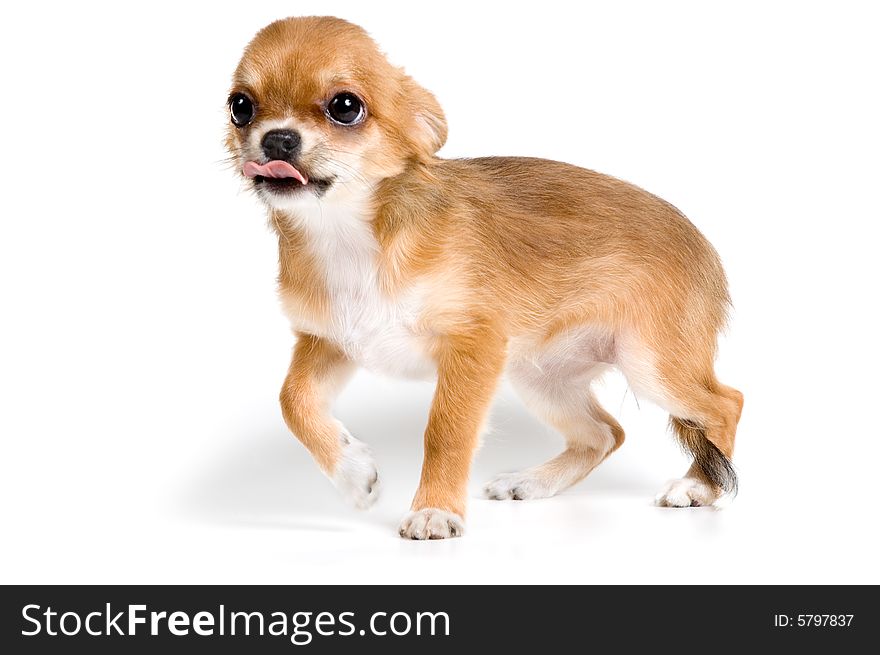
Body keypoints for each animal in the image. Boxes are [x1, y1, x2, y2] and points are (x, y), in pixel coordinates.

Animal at [225, 16, 744, 540]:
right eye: (240, 107)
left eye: (345, 107)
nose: (277, 139)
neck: (346, 234)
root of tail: (705, 247)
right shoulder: (328, 341)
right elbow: (293, 401)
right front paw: (353, 474)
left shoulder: (473, 347)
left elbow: (446, 431)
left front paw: (435, 509)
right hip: (540, 376)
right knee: (605, 433)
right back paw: (534, 483)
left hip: (649, 364)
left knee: (725, 403)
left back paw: (699, 487)